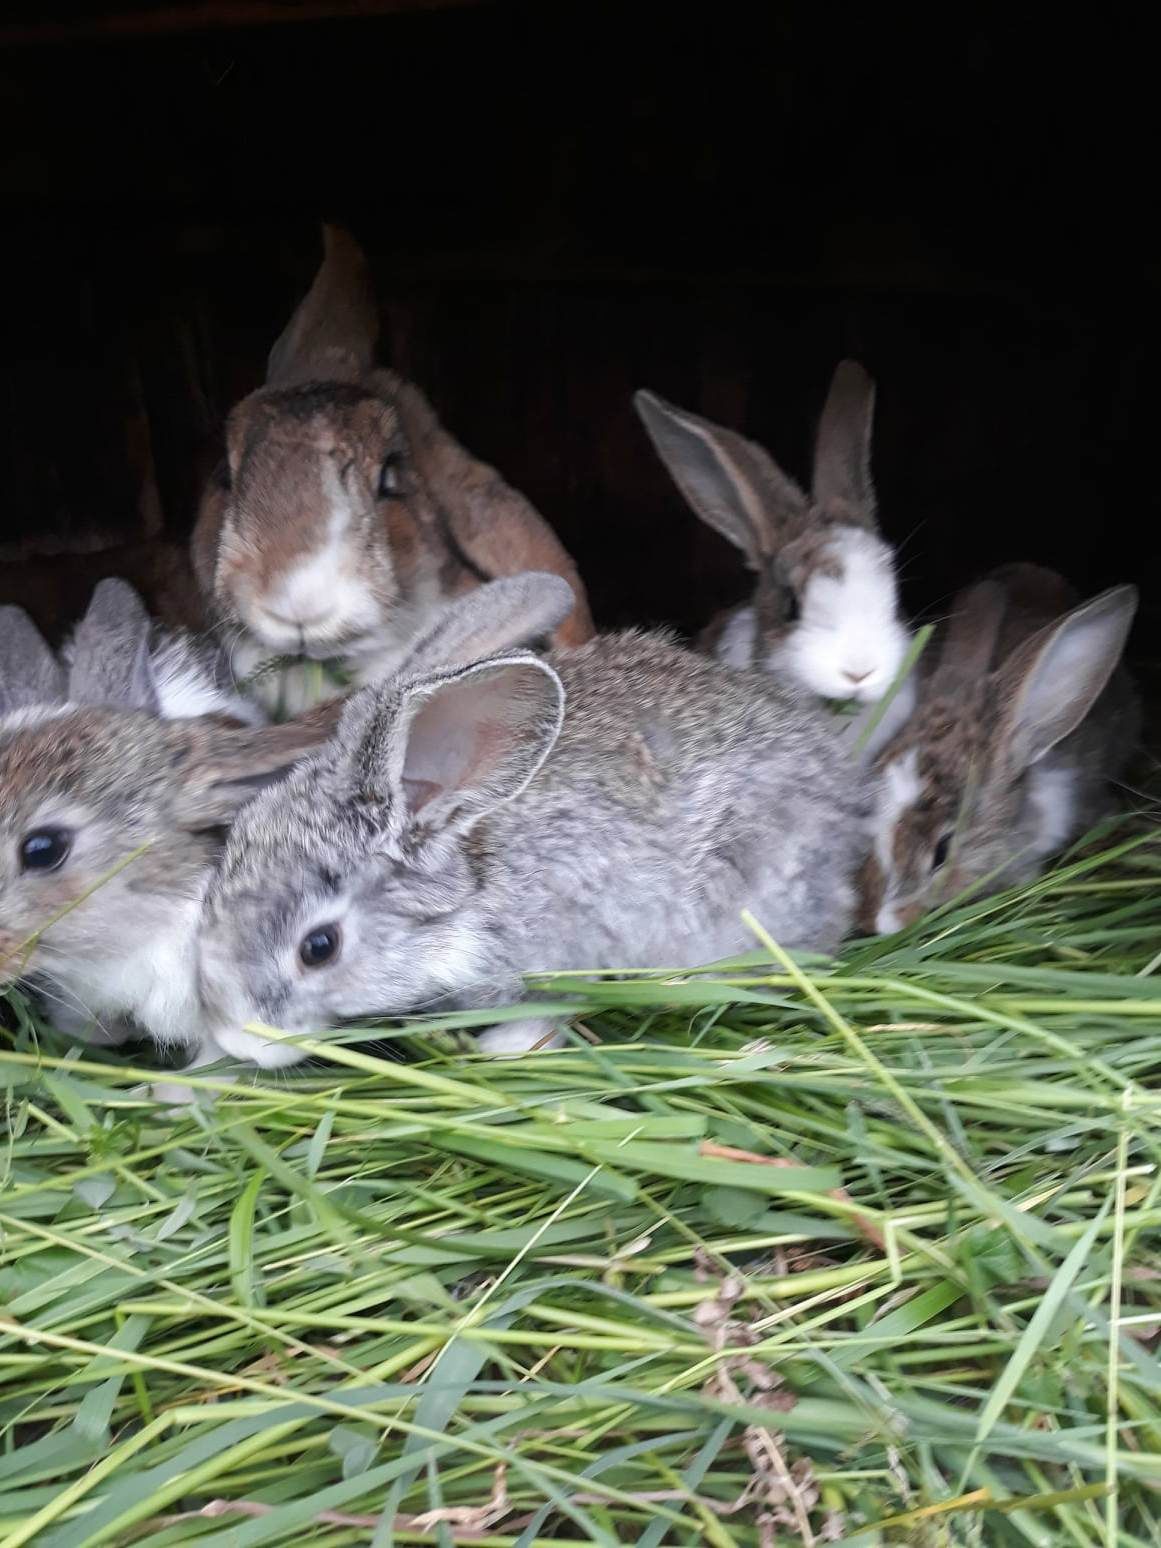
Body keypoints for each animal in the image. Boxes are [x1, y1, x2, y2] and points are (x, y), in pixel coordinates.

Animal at [193, 575, 873, 1071]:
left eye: (319, 948)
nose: (236, 1041)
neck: (474, 875)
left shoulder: (568, 946)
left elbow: (549, 1008)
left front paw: (502, 1050)